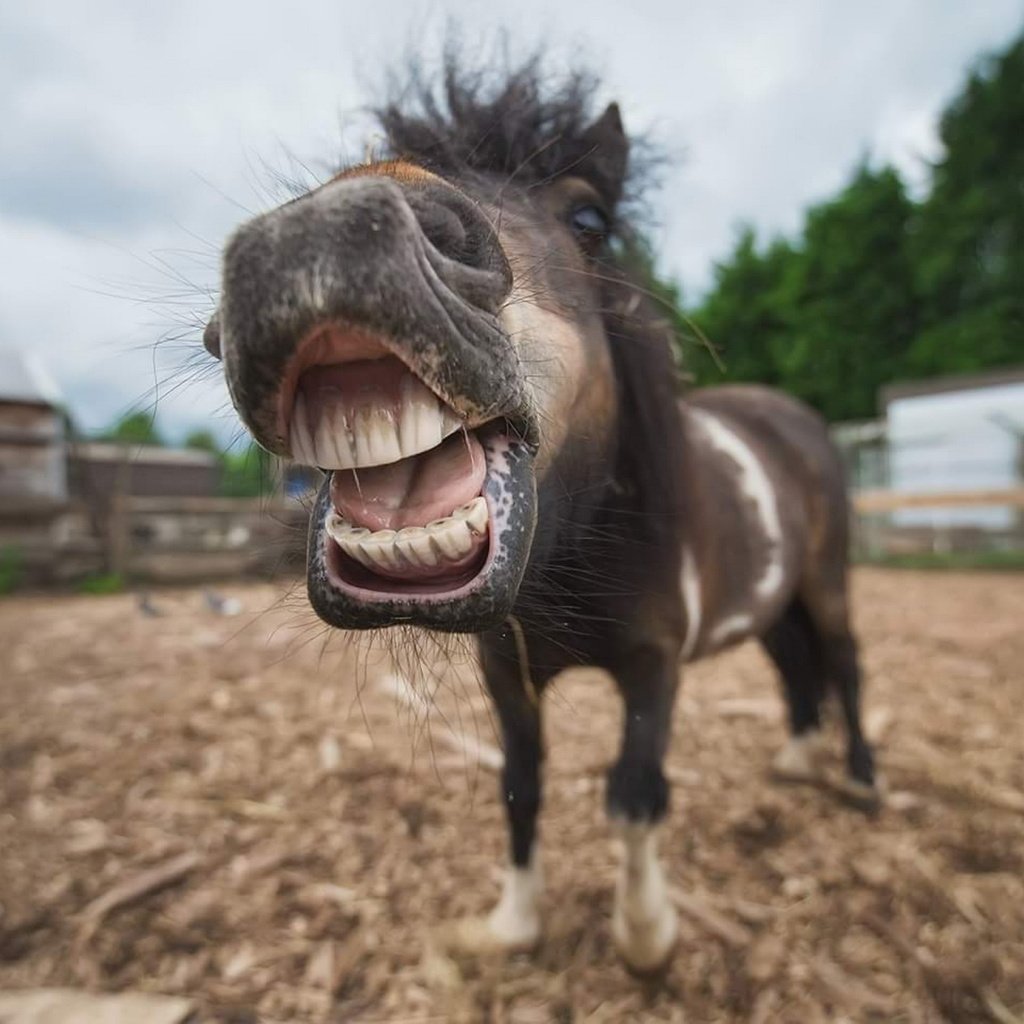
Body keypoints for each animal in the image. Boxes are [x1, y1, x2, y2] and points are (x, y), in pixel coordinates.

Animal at [203, 54, 876, 966]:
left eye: (590, 216)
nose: (320, 235)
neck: (576, 555)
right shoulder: (506, 676)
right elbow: (520, 789)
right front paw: (513, 926)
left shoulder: (654, 665)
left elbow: (634, 796)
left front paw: (645, 935)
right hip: (773, 601)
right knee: (797, 666)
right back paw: (799, 761)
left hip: (827, 582)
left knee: (842, 660)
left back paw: (864, 782)